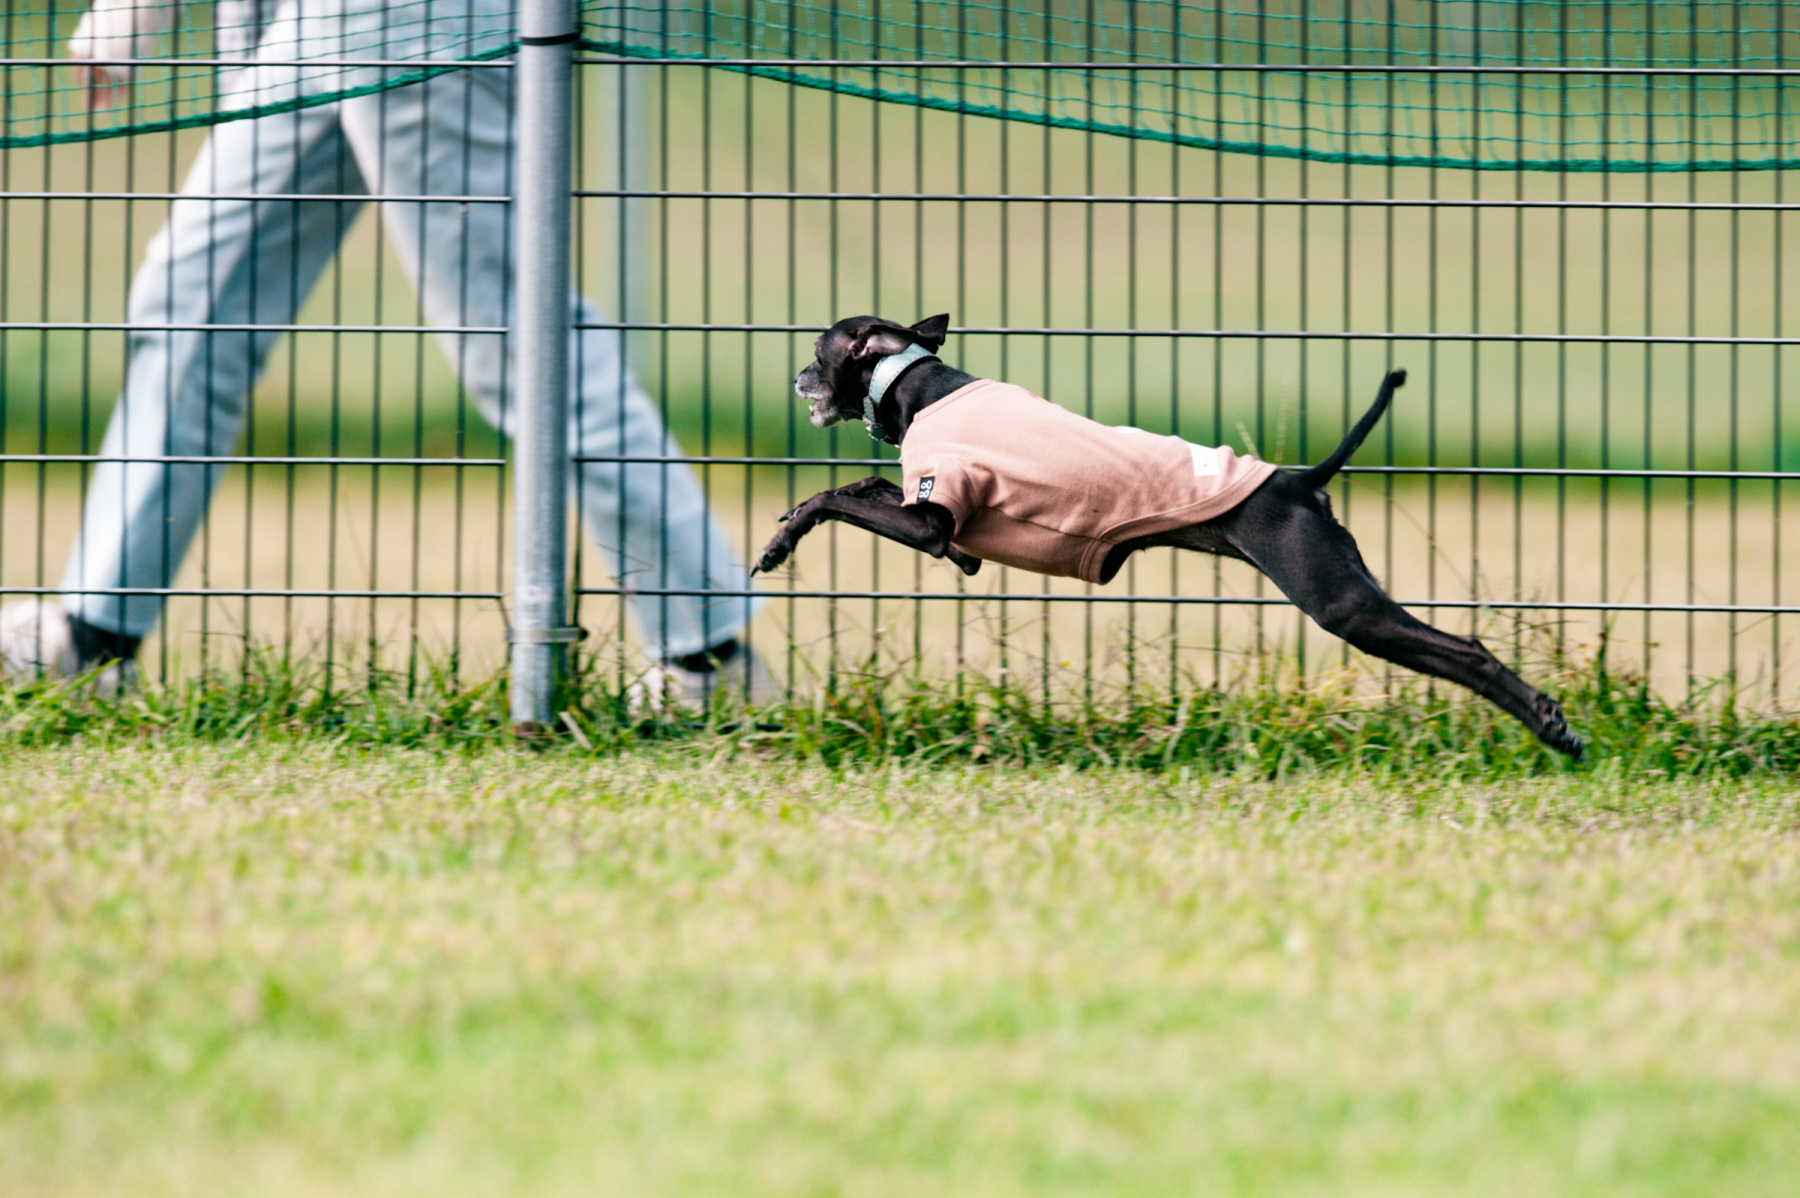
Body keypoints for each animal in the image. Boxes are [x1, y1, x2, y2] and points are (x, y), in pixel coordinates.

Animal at [753, 314, 1583, 759]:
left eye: (818, 352)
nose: (793, 377)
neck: (916, 385)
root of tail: (1297, 481)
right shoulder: (954, 540)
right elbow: (862, 486)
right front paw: (786, 527)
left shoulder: (933, 519)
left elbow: (835, 496)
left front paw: (780, 542)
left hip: (1340, 600)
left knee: (1464, 649)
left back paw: (1553, 726)